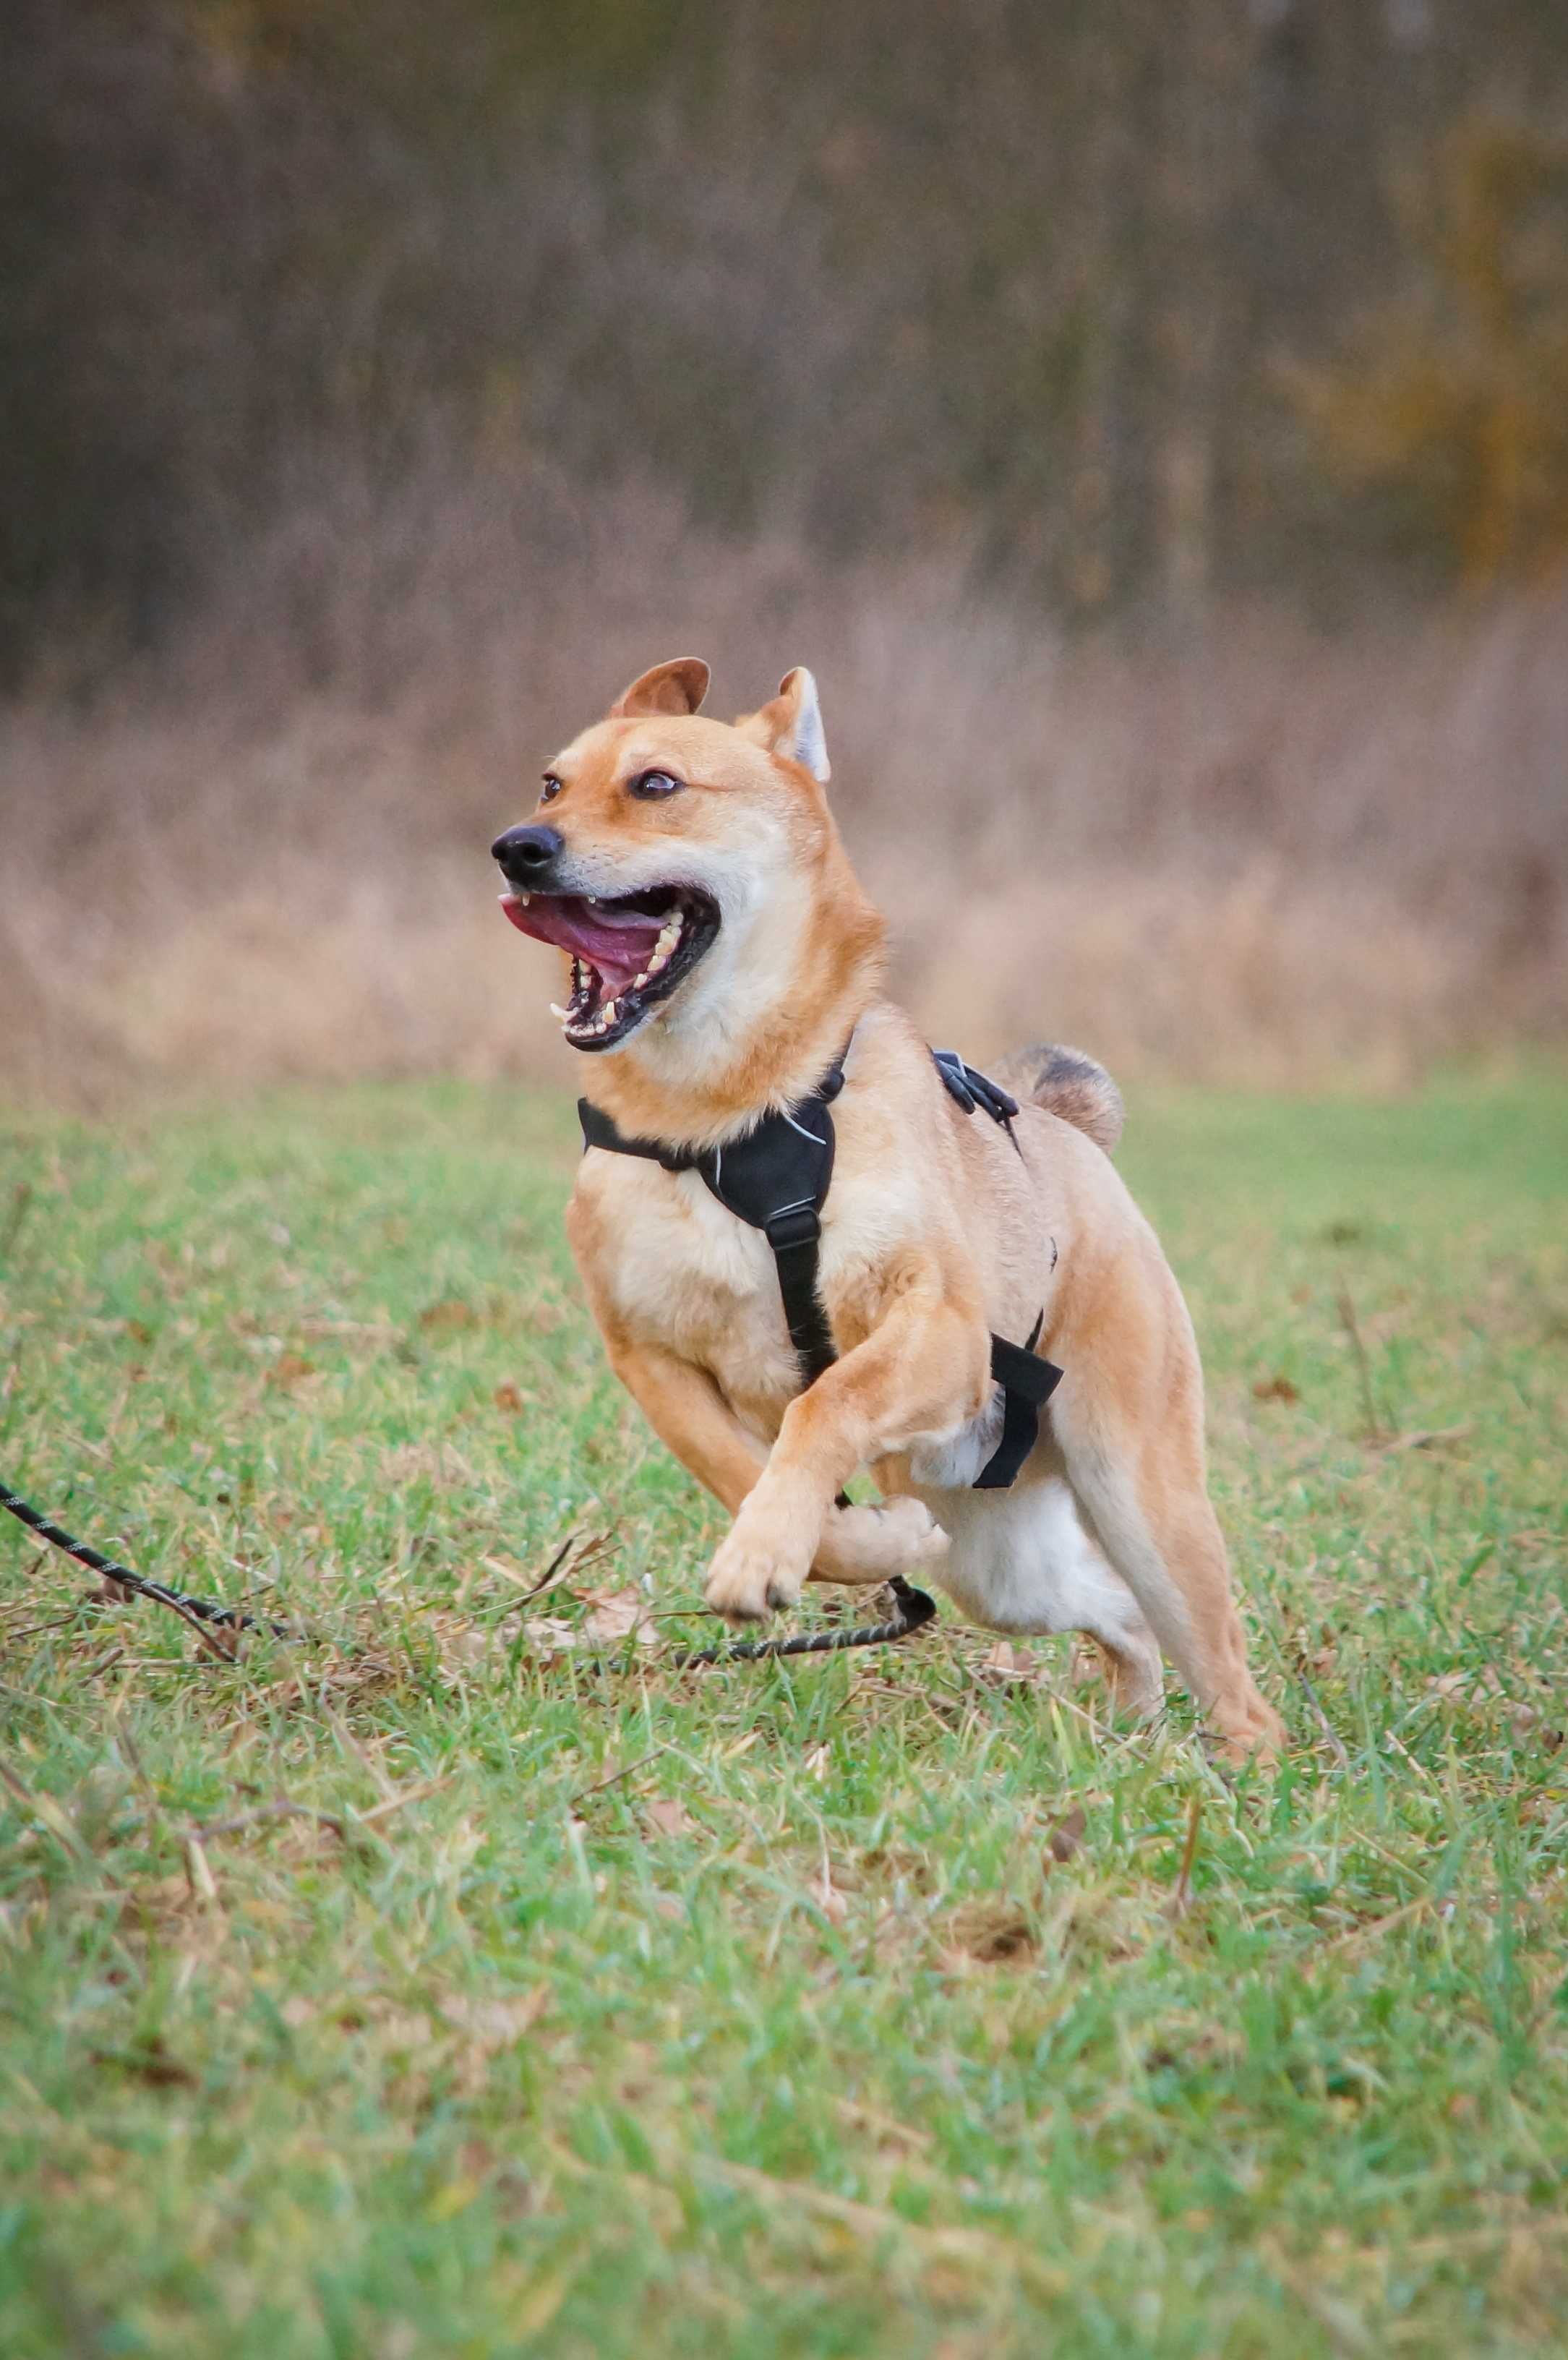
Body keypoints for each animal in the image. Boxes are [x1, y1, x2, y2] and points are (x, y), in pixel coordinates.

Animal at [492, 656, 1282, 1765]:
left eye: (656, 785)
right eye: (551, 785)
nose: (519, 848)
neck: (730, 1118)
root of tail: (1074, 1138)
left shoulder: (938, 1328)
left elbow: (826, 1404)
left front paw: (766, 1554)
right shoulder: (648, 1357)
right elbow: (743, 1471)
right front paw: (852, 1540)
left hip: (1141, 1494)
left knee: (1222, 1667)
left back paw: (1241, 1768)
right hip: (999, 1566)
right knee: (1116, 1615)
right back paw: (1127, 1730)